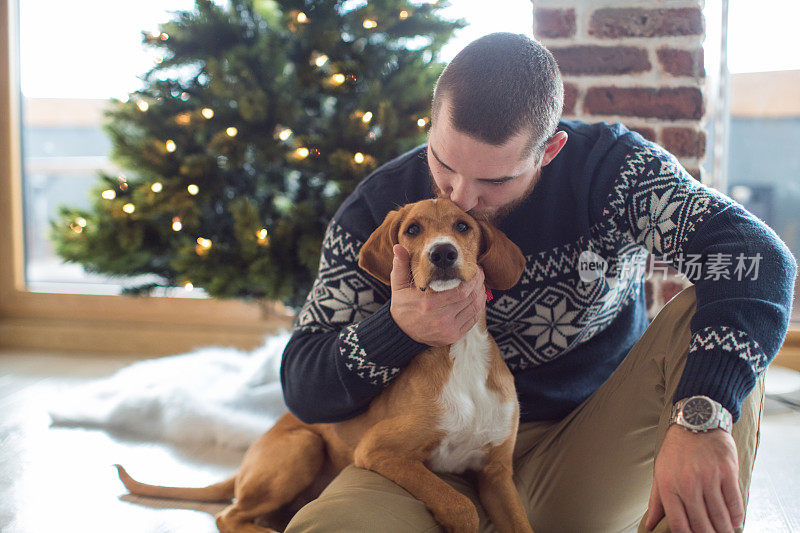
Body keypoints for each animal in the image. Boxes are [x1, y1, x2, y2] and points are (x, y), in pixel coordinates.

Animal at [115, 198, 536, 532]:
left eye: (463, 226)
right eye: (413, 229)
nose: (443, 253)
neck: (459, 352)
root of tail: (247, 460)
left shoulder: (497, 473)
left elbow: (521, 523)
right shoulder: (379, 450)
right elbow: (458, 503)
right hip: (303, 446)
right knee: (229, 516)